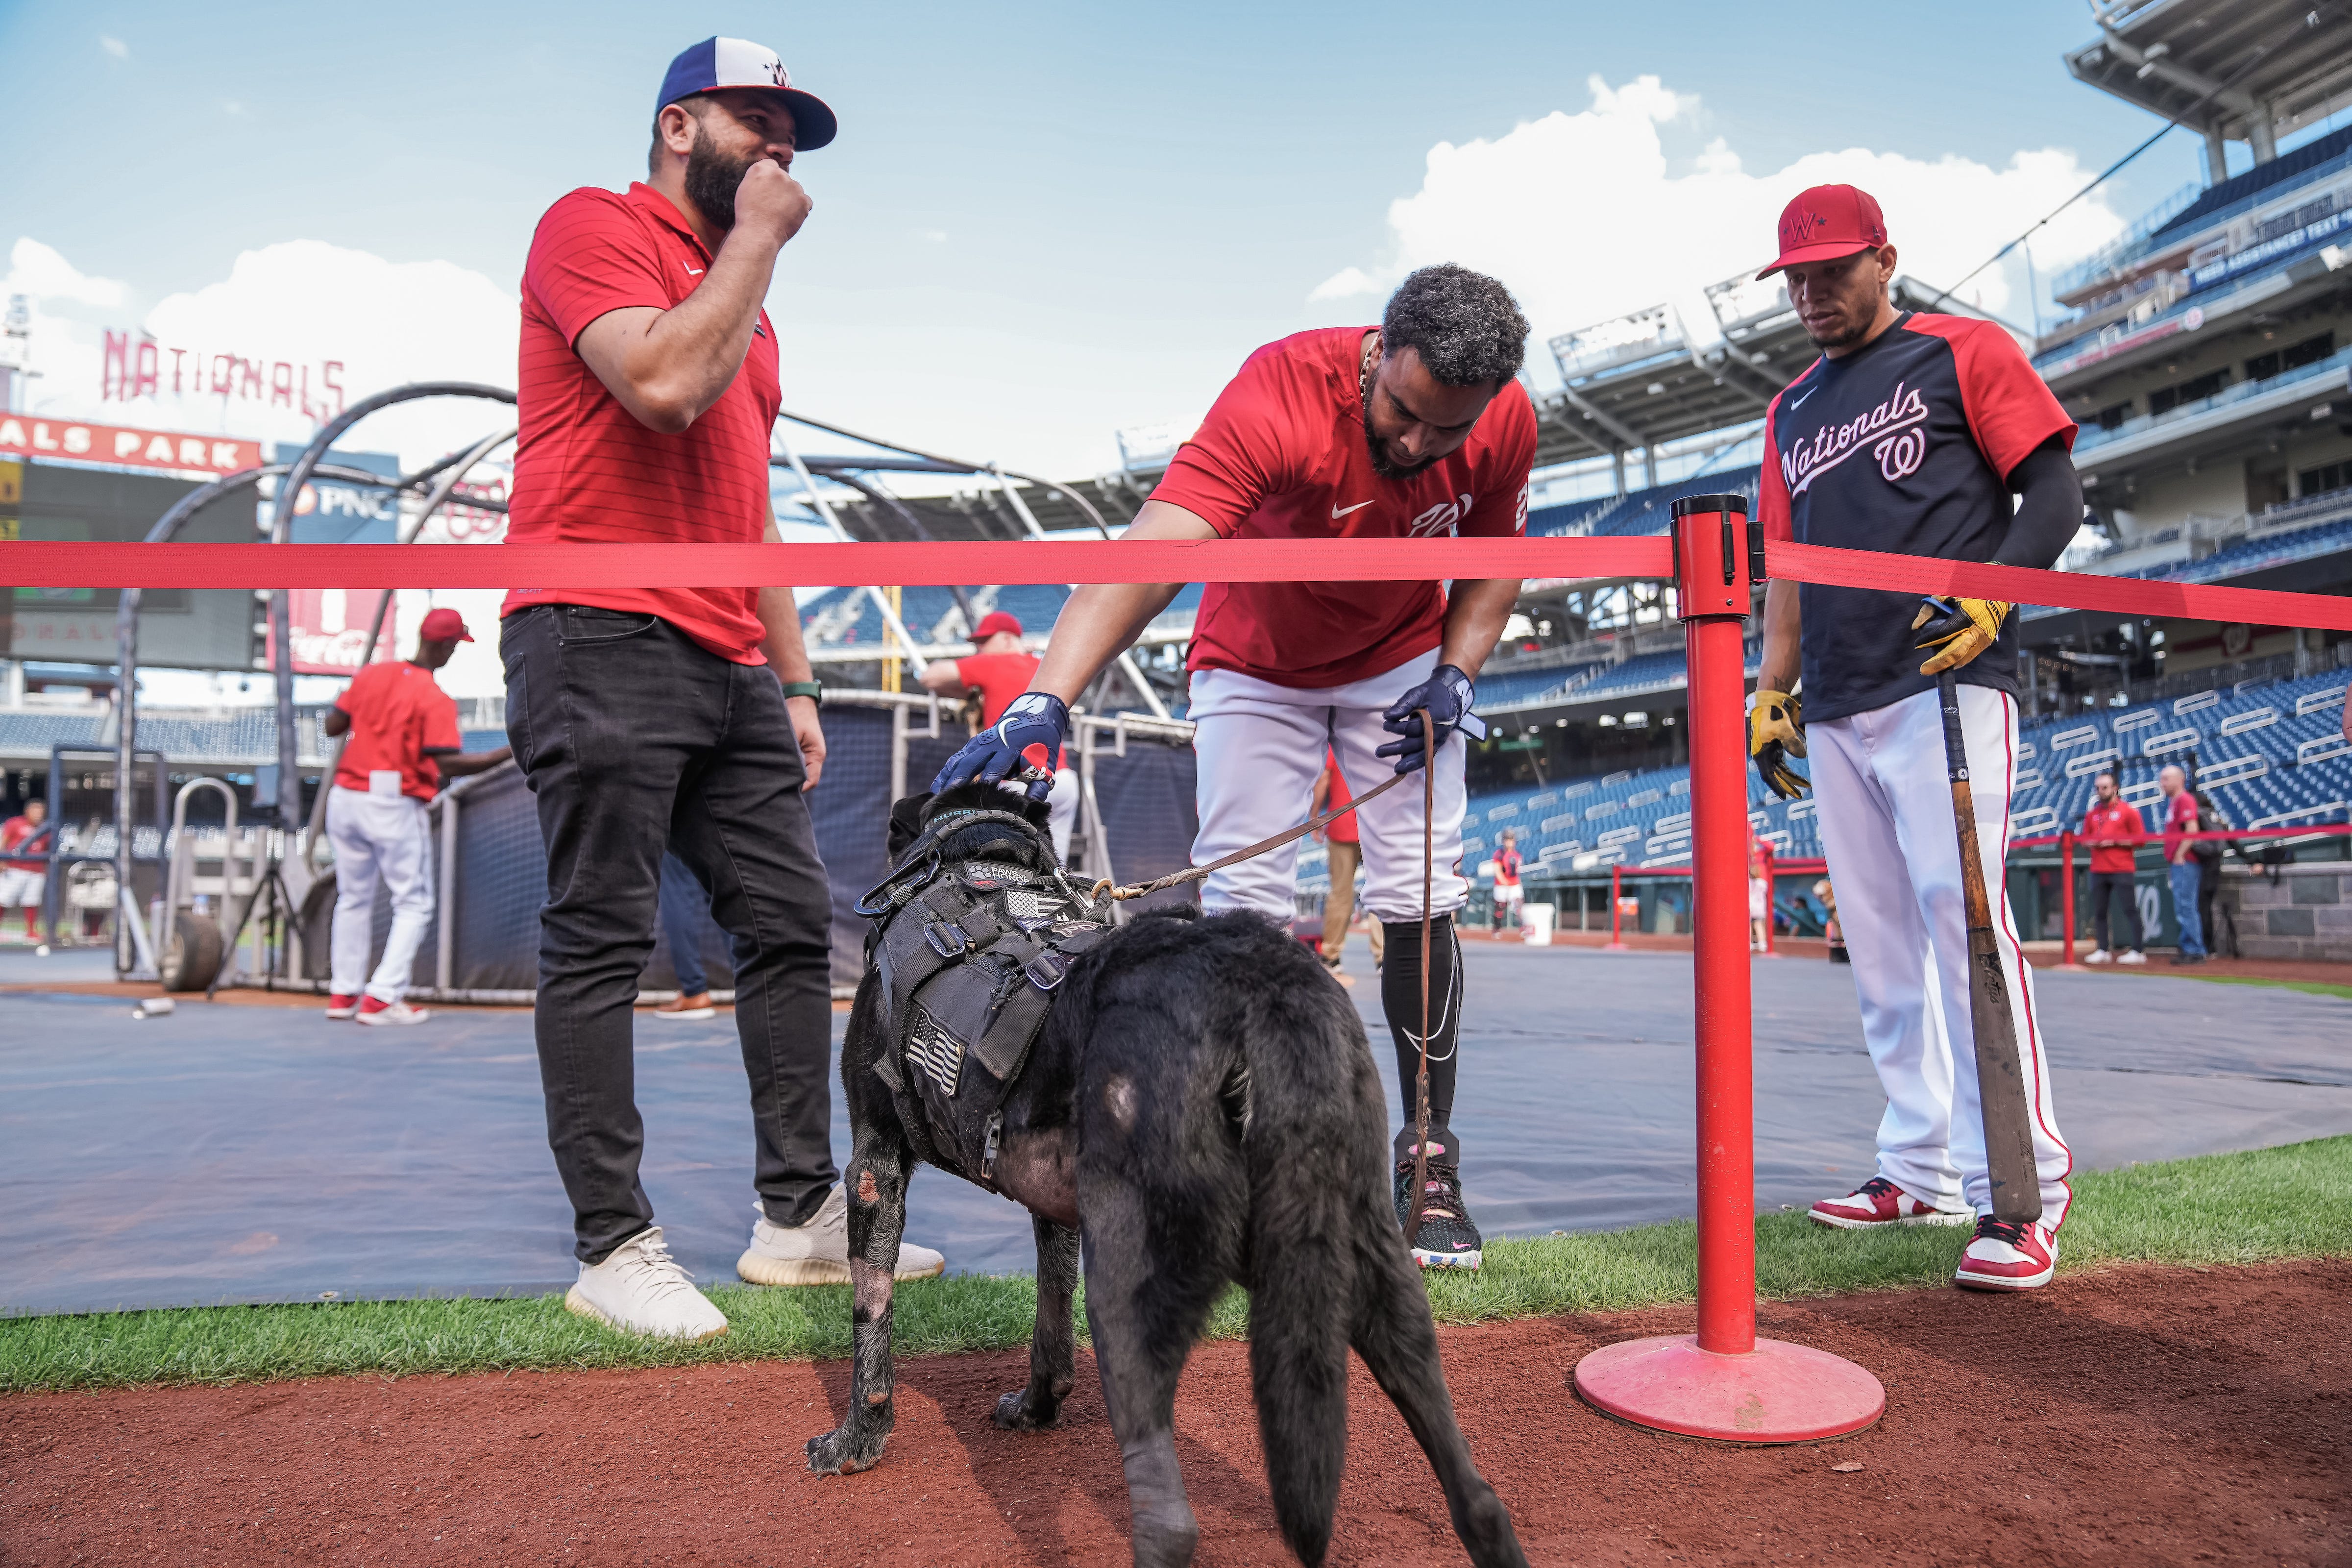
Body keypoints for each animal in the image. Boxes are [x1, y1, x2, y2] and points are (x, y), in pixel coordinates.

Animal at [804, 789, 1524, 1568]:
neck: (977, 866)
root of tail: (1264, 996)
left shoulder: (873, 1171)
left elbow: (870, 1325)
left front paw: (856, 1442)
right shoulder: (1052, 1203)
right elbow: (1049, 1319)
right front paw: (1037, 1406)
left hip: (1130, 1288)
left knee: (1172, 1522)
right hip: (1388, 1288)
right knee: (1481, 1500)